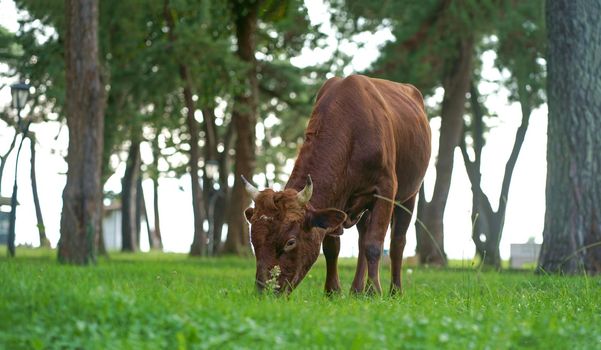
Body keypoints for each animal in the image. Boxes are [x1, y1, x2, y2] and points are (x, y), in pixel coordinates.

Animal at [241, 74, 428, 296]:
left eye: (290, 242)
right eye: (254, 241)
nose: (265, 292)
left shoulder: (385, 189)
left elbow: (374, 244)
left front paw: (374, 291)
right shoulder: (336, 199)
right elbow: (332, 246)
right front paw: (333, 291)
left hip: (410, 194)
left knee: (397, 241)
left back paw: (394, 291)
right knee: (362, 238)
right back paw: (356, 290)